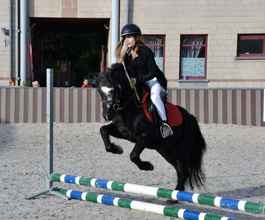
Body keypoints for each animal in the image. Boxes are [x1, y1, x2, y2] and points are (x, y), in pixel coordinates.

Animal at [96, 63, 205, 191]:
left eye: (114, 90)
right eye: (100, 91)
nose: (107, 115)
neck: (130, 107)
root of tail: (191, 118)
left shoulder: (145, 137)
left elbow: (133, 155)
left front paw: (147, 166)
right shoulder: (124, 133)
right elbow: (103, 130)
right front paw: (116, 149)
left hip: (181, 149)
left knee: (183, 170)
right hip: (165, 150)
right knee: (181, 170)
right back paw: (175, 194)